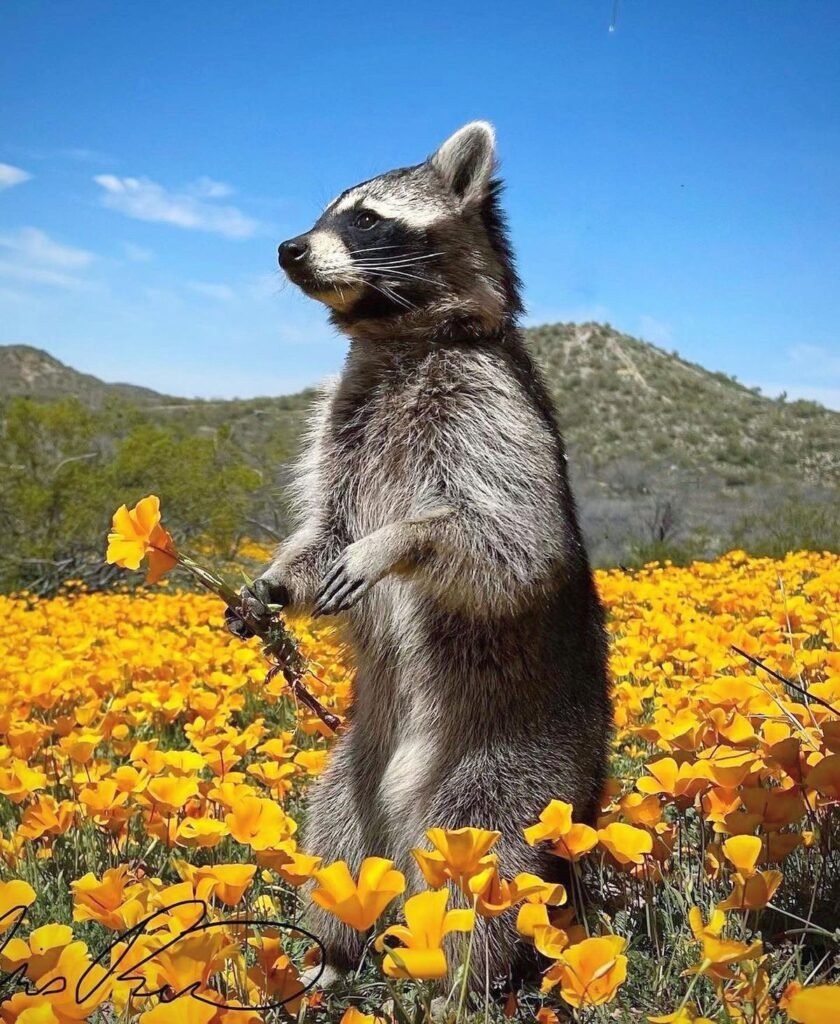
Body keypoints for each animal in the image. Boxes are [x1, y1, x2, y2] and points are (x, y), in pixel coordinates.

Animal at [227, 122, 612, 990]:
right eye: (322, 212)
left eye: (366, 219)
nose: (287, 249)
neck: (396, 335)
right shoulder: (345, 417)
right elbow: (326, 526)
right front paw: (277, 582)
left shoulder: (491, 408)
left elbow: (513, 541)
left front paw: (402, 541)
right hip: (357, 761)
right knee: (335, 838)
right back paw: (332, 953)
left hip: (519, 761)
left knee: (484, 866)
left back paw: (457, 978)